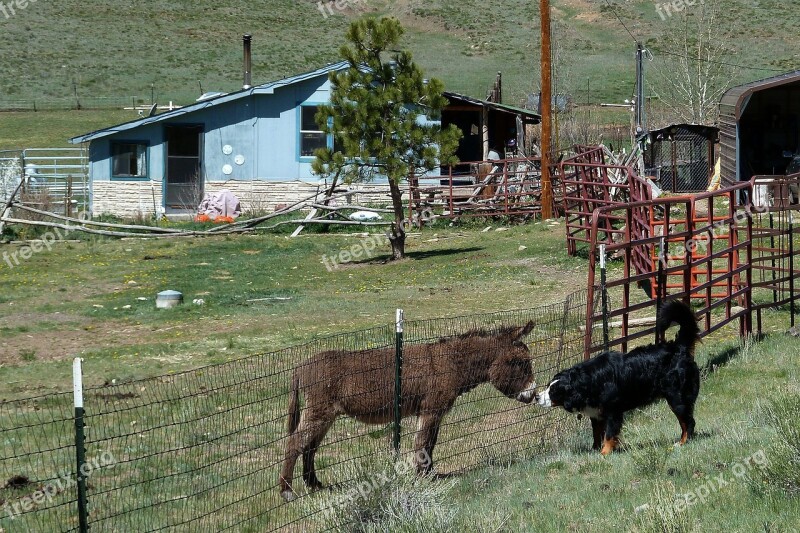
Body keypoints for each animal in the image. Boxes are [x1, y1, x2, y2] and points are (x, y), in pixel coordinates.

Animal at [536, 300, 700, 454]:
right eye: (548, 386)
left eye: (553, 391)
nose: (537, 397)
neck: (589, 382)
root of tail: (678, 347)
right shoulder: (596, 414)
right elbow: (597, 434)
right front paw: (595, 450)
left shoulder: (612, 412)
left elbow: (609, 435)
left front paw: (604, 453)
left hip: (677, 398)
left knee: (688, 422)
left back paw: (682, 443)